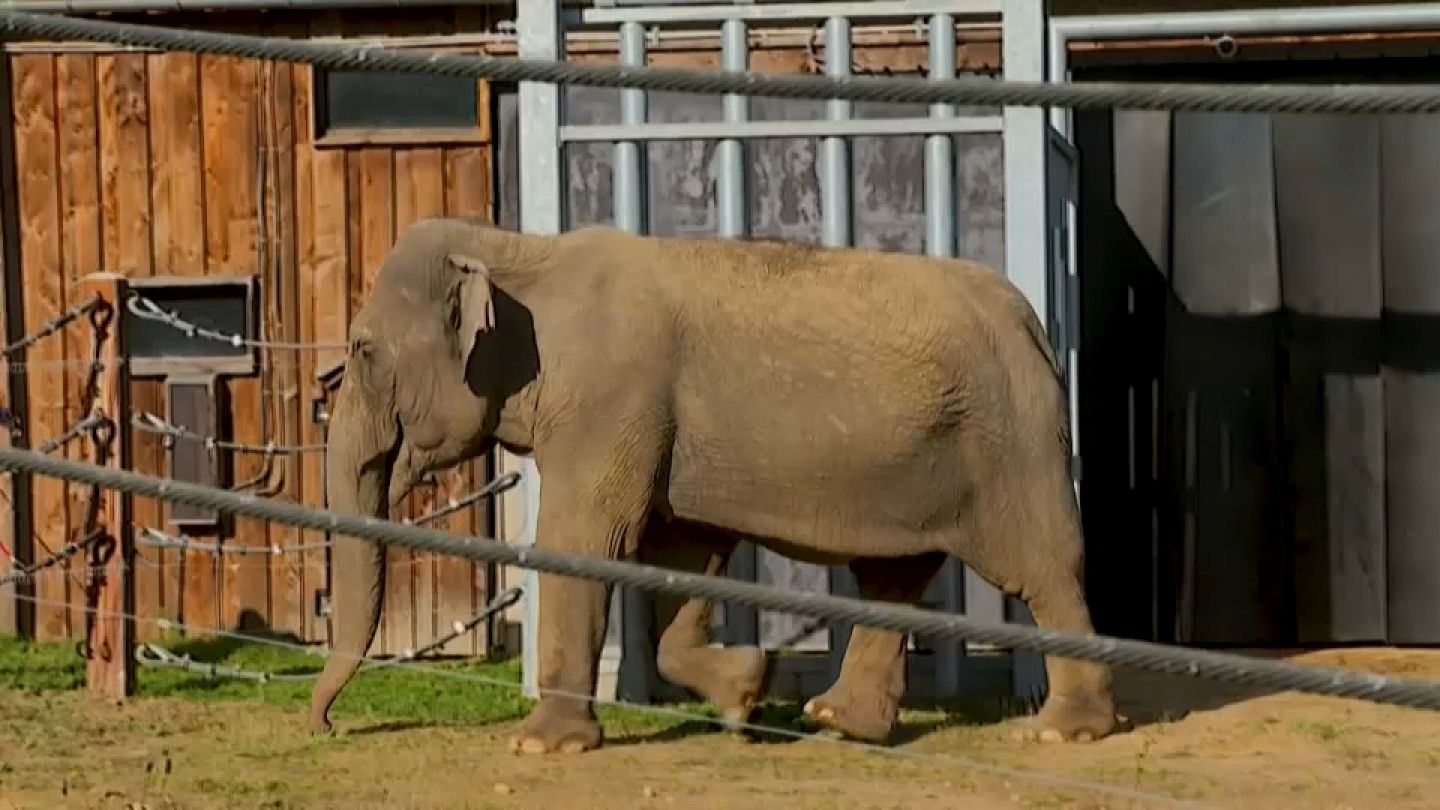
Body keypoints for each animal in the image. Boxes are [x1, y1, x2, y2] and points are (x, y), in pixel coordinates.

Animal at [309, 214, 1123, 749]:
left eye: (364, 350)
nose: (328, 725)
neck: (520, 250)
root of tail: (1033, 320)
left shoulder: (611, 399)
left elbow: (586, 539)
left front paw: (541, 745)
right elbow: (681, 556)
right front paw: (747, 694)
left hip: (1010, 443)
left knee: (1043, 570)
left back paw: (1065, 732)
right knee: (892, 579)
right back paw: (838, 721)